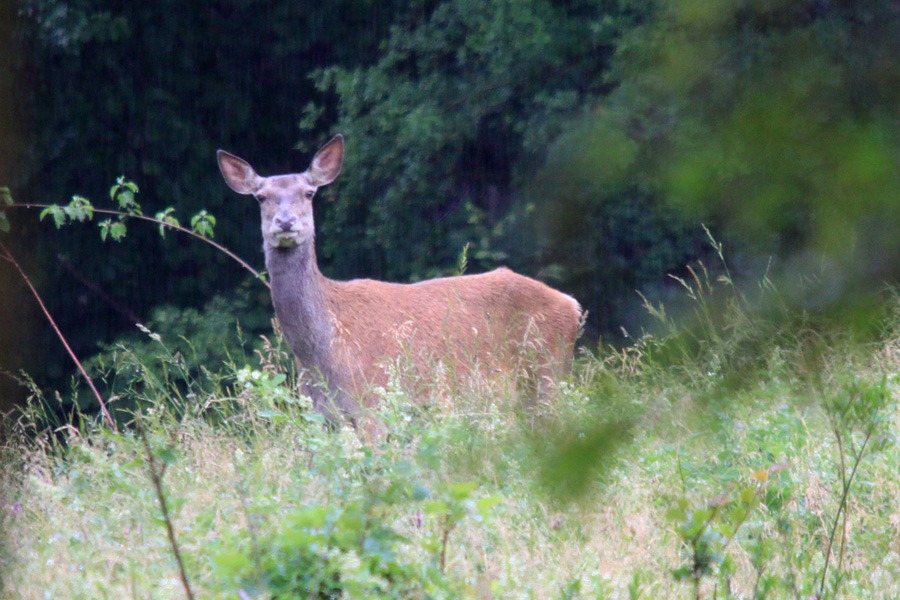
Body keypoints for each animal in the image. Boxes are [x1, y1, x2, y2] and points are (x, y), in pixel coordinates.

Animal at [220, 133, 584, 432]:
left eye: (309, 192)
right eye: (260, 197)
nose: (285, 221)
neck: (322, 351)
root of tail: (573, 304)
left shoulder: (373, 401)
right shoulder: (321, 415)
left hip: (547, 373)